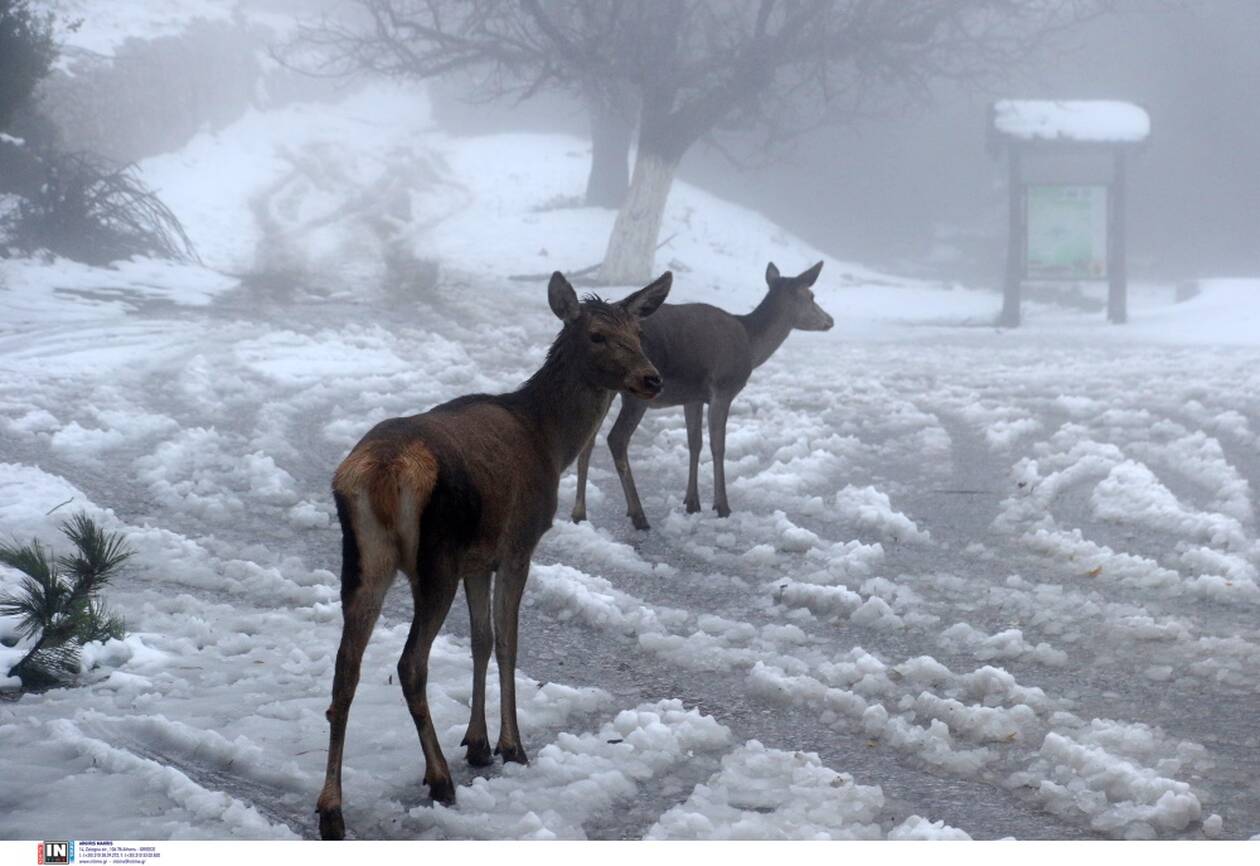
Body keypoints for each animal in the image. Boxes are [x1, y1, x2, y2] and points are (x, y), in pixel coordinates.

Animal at [315, 272, 670, 842]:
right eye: (596, 335)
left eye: (638, 332)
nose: (652, 378)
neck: (550, 441)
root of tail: (381, 473)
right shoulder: (518, 544)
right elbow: (507, 642)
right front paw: (511, 745)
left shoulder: (476, 561)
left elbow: (480, 641)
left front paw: (477, 743)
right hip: (432, 561)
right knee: (410, 663)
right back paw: (438, 778)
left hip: (365, 561)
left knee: (345, 669)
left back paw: (331, 809)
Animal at [574, 259, 836, 529]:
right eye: (811, 296)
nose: (829, 320)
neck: (751, 344)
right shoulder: (723, 388)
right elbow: (718, 445)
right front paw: (722, 506)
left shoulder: (693, 397)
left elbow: (695, 443)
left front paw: (692, 502)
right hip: (636, 390)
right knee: (616, 438)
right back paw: (638, 515)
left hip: (606, 389)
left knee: (588, 440)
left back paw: (580, 514)